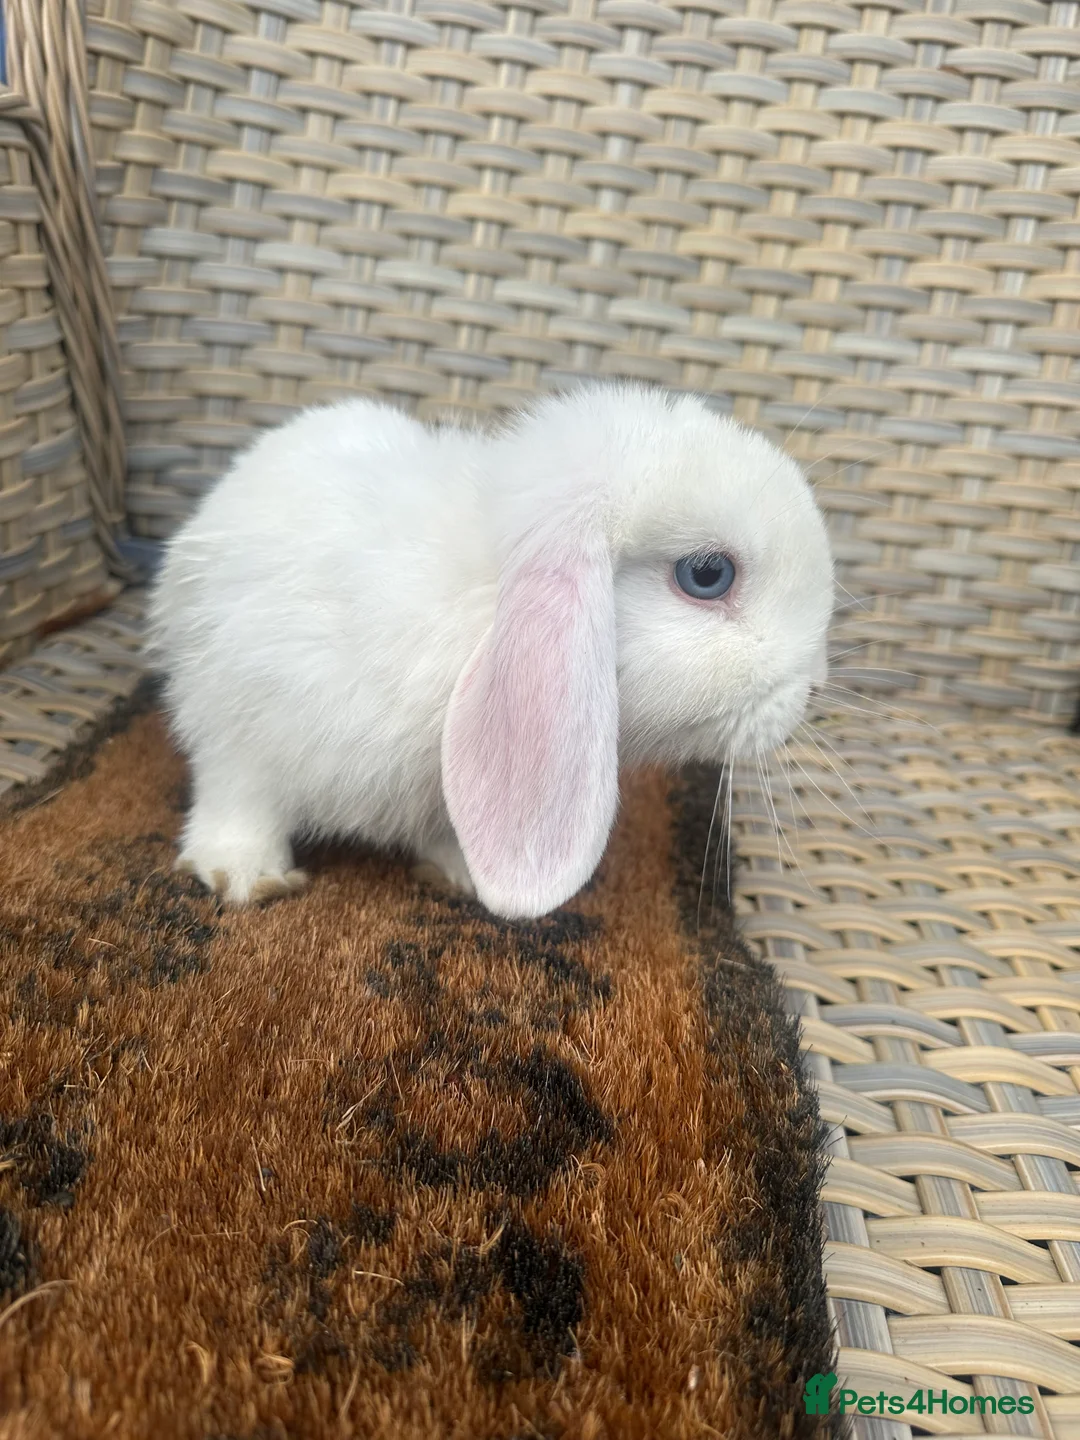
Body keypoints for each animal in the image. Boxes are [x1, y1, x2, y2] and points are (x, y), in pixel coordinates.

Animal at [146, 382, 833, 920]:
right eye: (708, 574)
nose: (813, 688)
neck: (483, 608)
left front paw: (462, 874)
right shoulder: (241, 726)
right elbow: (239, 802)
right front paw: (244, 876)